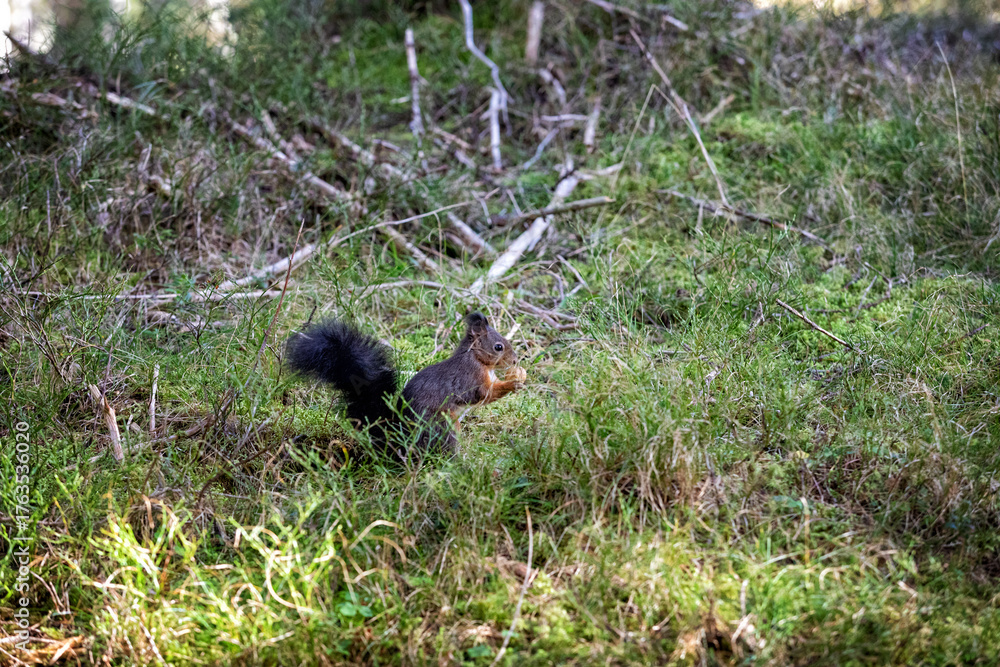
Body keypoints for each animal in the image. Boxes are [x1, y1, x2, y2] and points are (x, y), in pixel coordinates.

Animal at [285, 312, 527, 459]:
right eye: (498, 347)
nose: (516, 360)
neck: (476, 359)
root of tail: (401, 442)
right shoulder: (469, 380)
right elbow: (482, 395)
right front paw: (514, 383)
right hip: (443, 425)